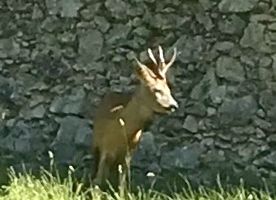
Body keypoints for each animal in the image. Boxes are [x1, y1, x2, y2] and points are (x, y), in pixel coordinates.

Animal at [92, 45, 178, 188]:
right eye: (156, 90)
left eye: (169, 89)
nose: (174, 105)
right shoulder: (104, 148)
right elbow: (97, 181)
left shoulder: (128, 155)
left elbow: (122, 184)